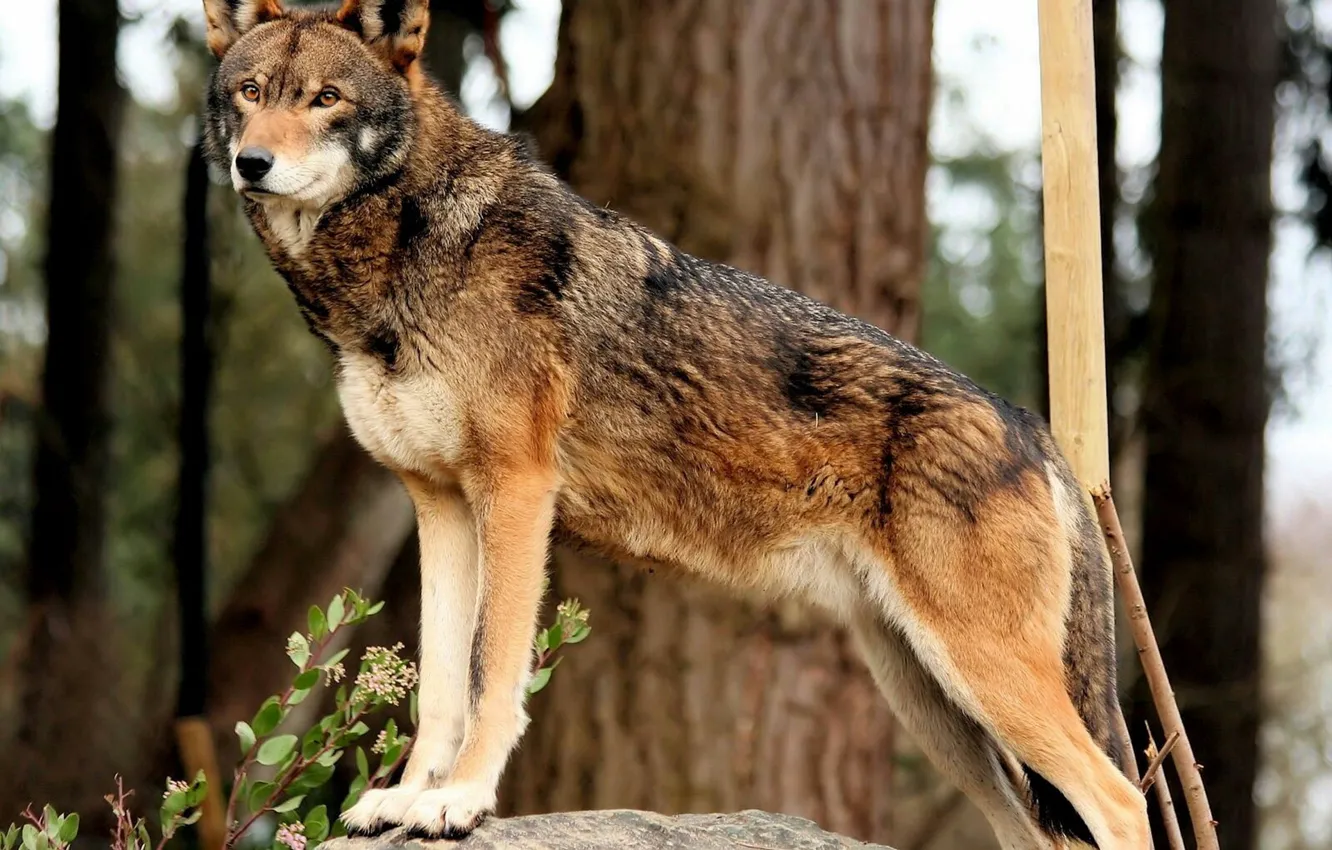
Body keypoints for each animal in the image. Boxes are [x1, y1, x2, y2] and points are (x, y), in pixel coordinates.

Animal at [200, 1, 1150, 847]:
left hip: (986, 683)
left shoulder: (516, 492)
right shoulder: (439, 505)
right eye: (250, 91)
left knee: (1124, 802)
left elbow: (488, 671)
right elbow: (438, 683)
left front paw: (460, 802)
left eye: (326, 99)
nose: (252, 163)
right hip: (937, 708)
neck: (410, 247)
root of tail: (1028, 423)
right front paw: (407, 800)